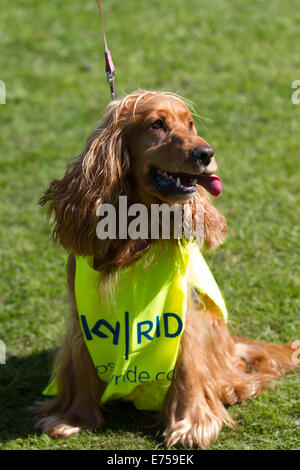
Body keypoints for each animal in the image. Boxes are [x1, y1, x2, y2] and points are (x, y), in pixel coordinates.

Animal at [36, 89, 296, 448]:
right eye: (156, 124)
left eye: (190, 124)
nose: (206, 153)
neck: (134, 239)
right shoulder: (81, 315)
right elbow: (80, 365)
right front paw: (74, 418)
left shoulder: (181, 312)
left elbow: (188, 367)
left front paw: (191, 425)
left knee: (231, 367)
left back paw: (232, 387)